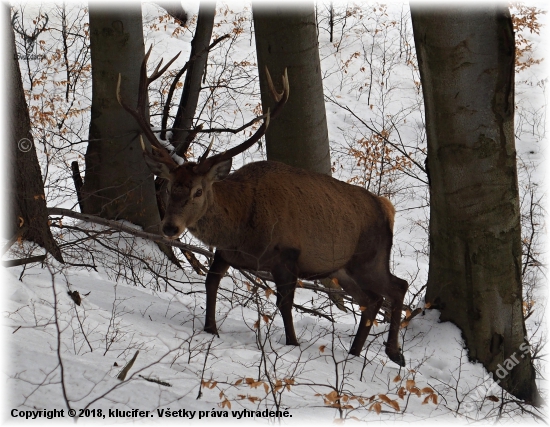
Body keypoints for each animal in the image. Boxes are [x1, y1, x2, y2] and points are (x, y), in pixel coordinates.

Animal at [119, 47, 410, 368]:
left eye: (198, 191)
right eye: (170, 186)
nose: (170, 226)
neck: (243, 226)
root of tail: (387, 208)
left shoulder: (288, 254)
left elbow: (285, 303)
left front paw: (292, 342)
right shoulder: (226, 252)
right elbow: (211, 282)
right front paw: (211, 328)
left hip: (370, 257)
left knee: (398, 286)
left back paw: (395, 353)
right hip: (344, 269)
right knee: (372, 300)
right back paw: (355, 353)